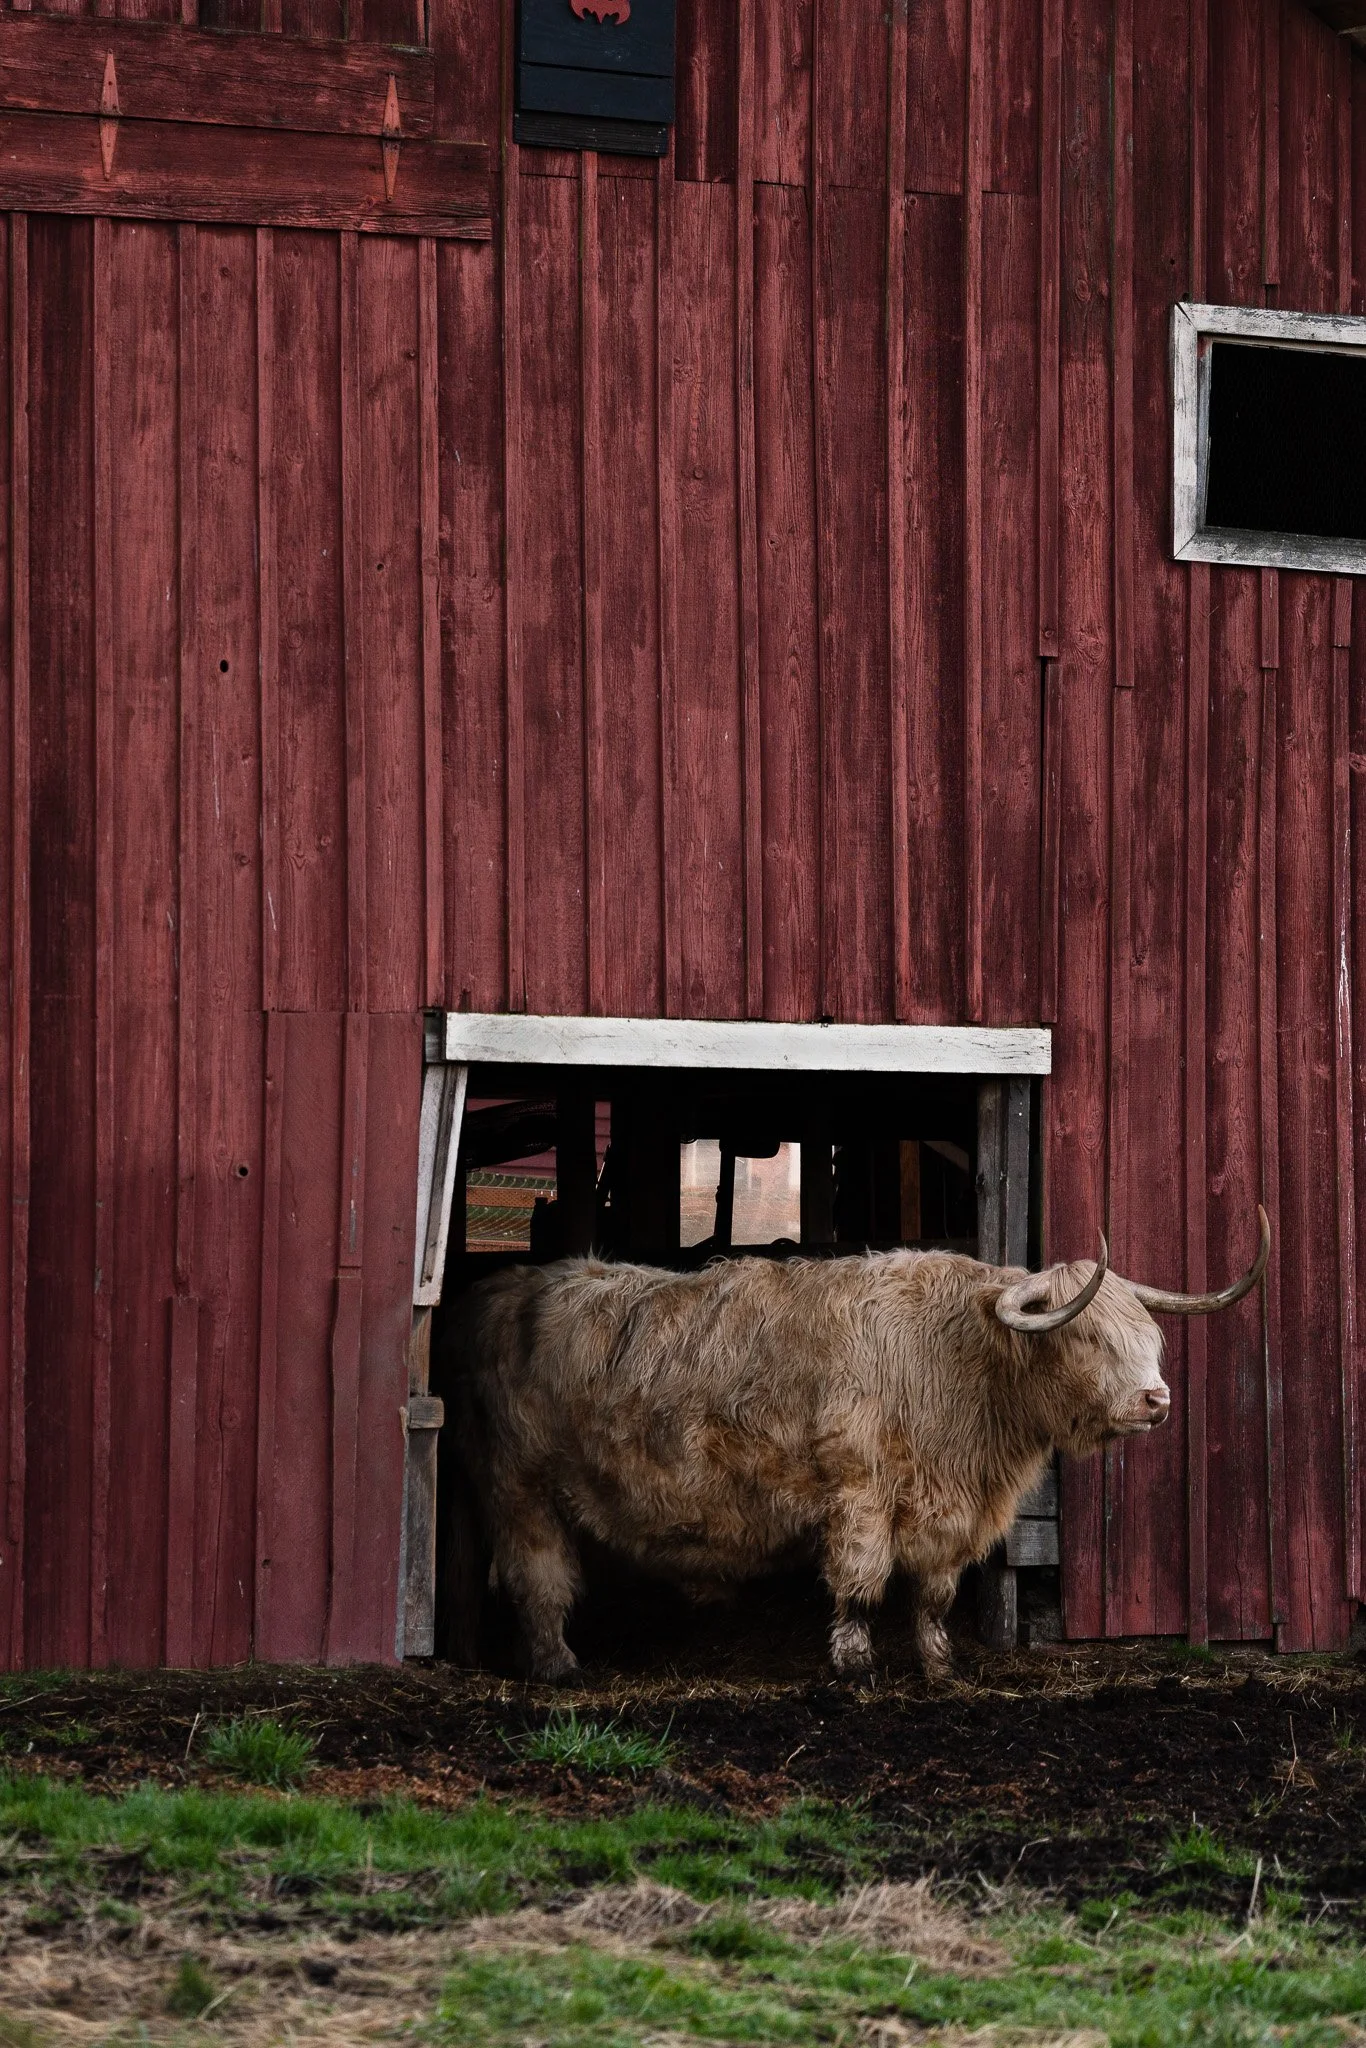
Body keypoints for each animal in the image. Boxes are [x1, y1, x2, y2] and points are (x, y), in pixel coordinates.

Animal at [447, 1212, 1269, 1681]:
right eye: (1089, 1336)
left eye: (1150, 1335)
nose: (1157, 1401)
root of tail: (505, 1288)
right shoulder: (860, 1495)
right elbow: (860, 1582)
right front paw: (854, 1664)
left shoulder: (949, 1515)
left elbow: (935, 1595)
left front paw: (939, 1668)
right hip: (519, 1489)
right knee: (539, 1578)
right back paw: (559, 1668)